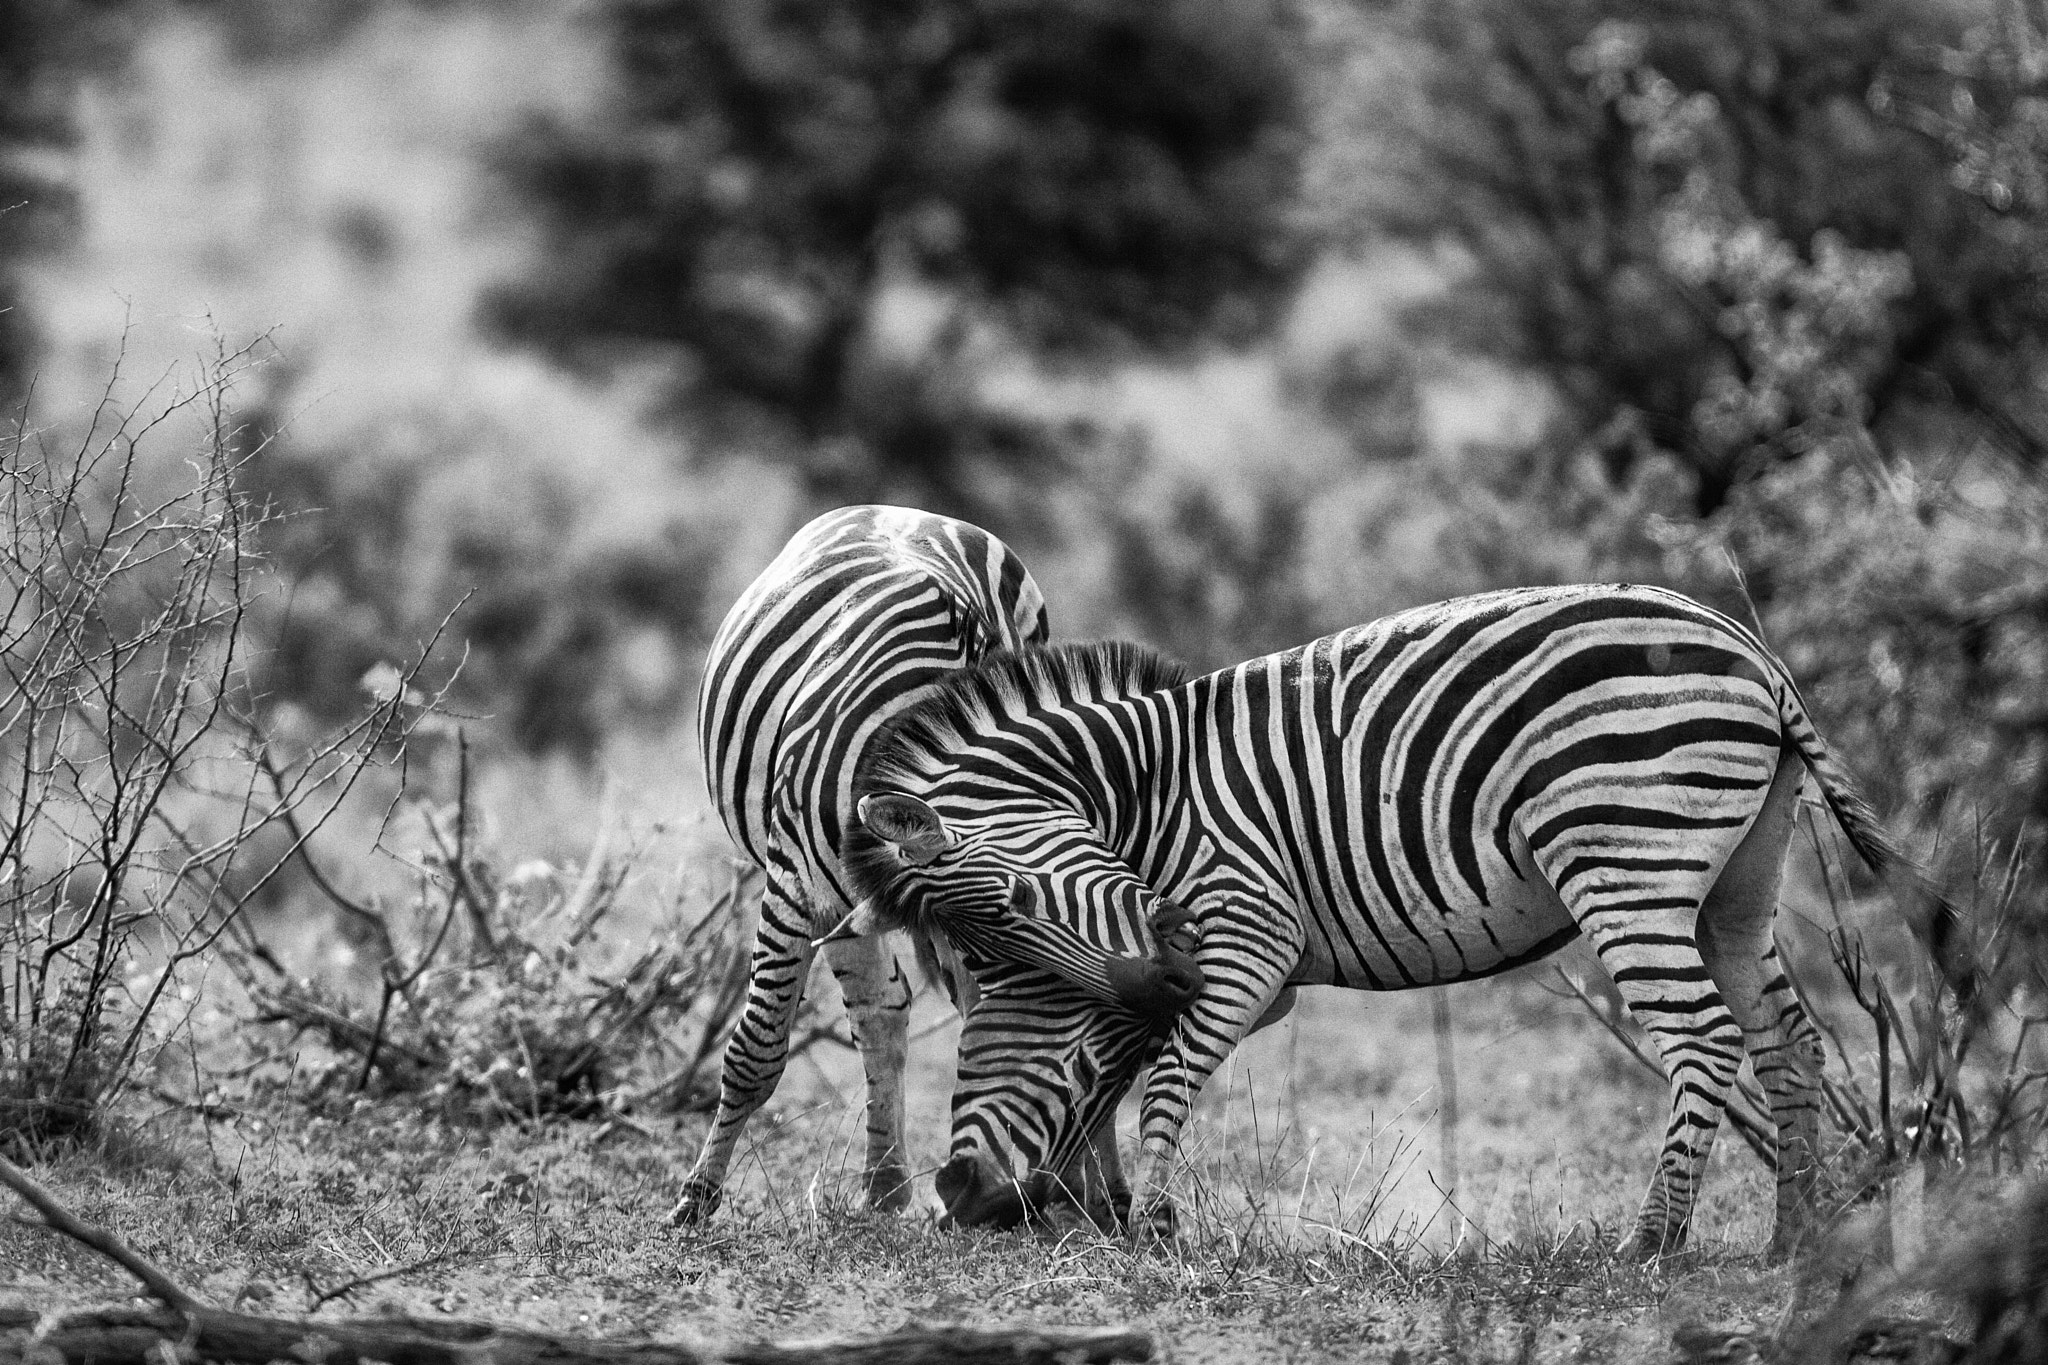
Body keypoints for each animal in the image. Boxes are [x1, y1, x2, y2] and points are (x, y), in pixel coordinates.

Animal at [839, 581, 1925, 1252]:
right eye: (988, 941)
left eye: (1012, 908)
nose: (959, 1191)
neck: (1146, 794)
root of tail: (1750, 651)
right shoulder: (1222, 969)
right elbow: (1109, 1069)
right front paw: (1084, 1207)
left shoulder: (1248, 932)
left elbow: (1159, 1071)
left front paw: (1145, 1228)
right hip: (1736, 881)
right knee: (1790, 1042)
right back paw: (1794, 1237)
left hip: (1624, 858)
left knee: (1705, 1039)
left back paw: (1652, 1241)